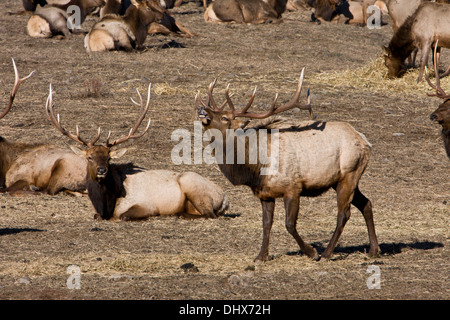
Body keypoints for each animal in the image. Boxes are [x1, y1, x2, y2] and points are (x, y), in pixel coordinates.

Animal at [45, 82, 229, 220]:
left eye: (109, 158)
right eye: (90, 157)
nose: (101, 170)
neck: (106, 205)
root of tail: (225, 197)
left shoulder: (146, 205)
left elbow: (124, 216)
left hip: (194, 187)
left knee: (209, 214)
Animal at [196, 69, 380, 262]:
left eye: (225, 117)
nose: (202, 110)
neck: (255, 168)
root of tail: (365, 141)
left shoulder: (293, 188)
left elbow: (289, 224)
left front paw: (311, 252)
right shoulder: (265, 193)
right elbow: (266, 224)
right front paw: (261, 256)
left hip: (349, 174)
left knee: (344, 213)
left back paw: (327, 253)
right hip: (341, 180)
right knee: (366, 203)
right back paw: (374, 250)